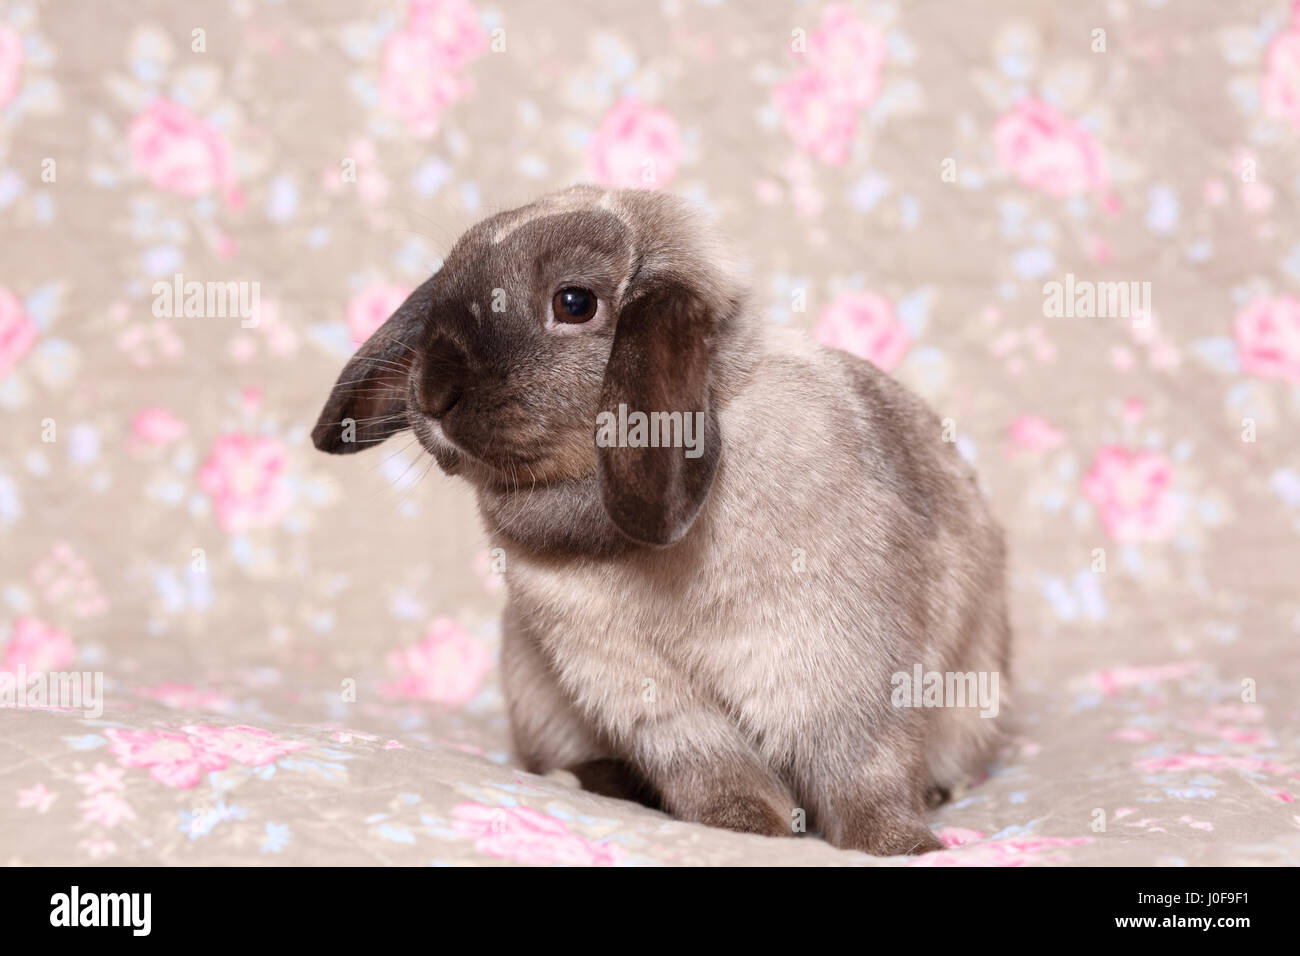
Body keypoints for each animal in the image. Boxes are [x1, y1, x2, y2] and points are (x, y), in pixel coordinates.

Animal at [312, 183, 1003, 858]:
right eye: (439, 303)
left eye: (574, 303)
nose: (432, 391)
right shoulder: (646, 694)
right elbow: (717, 772)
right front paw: (747, 830)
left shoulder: (840, 668)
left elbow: (861, 773)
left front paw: (900, 846)